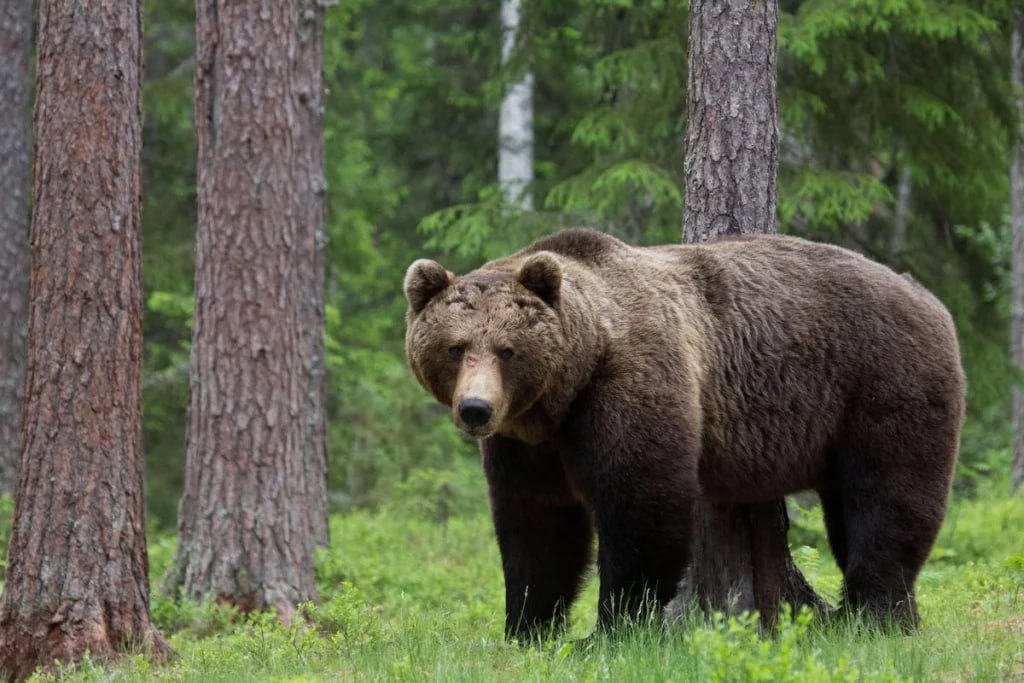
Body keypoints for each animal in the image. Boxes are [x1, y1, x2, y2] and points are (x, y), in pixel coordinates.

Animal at [403, 228, 962, 643]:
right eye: (456, 347)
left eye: (507, 350)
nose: (476, 410)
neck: (565, 392)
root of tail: (927, 296)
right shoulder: (528, 445)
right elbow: (537, 524)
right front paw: (526, 628)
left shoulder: (630, 383)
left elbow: (641, 504)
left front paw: (611, 629)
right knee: (850, 509)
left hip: (881, 382)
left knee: (887, 499)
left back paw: (871, 614)